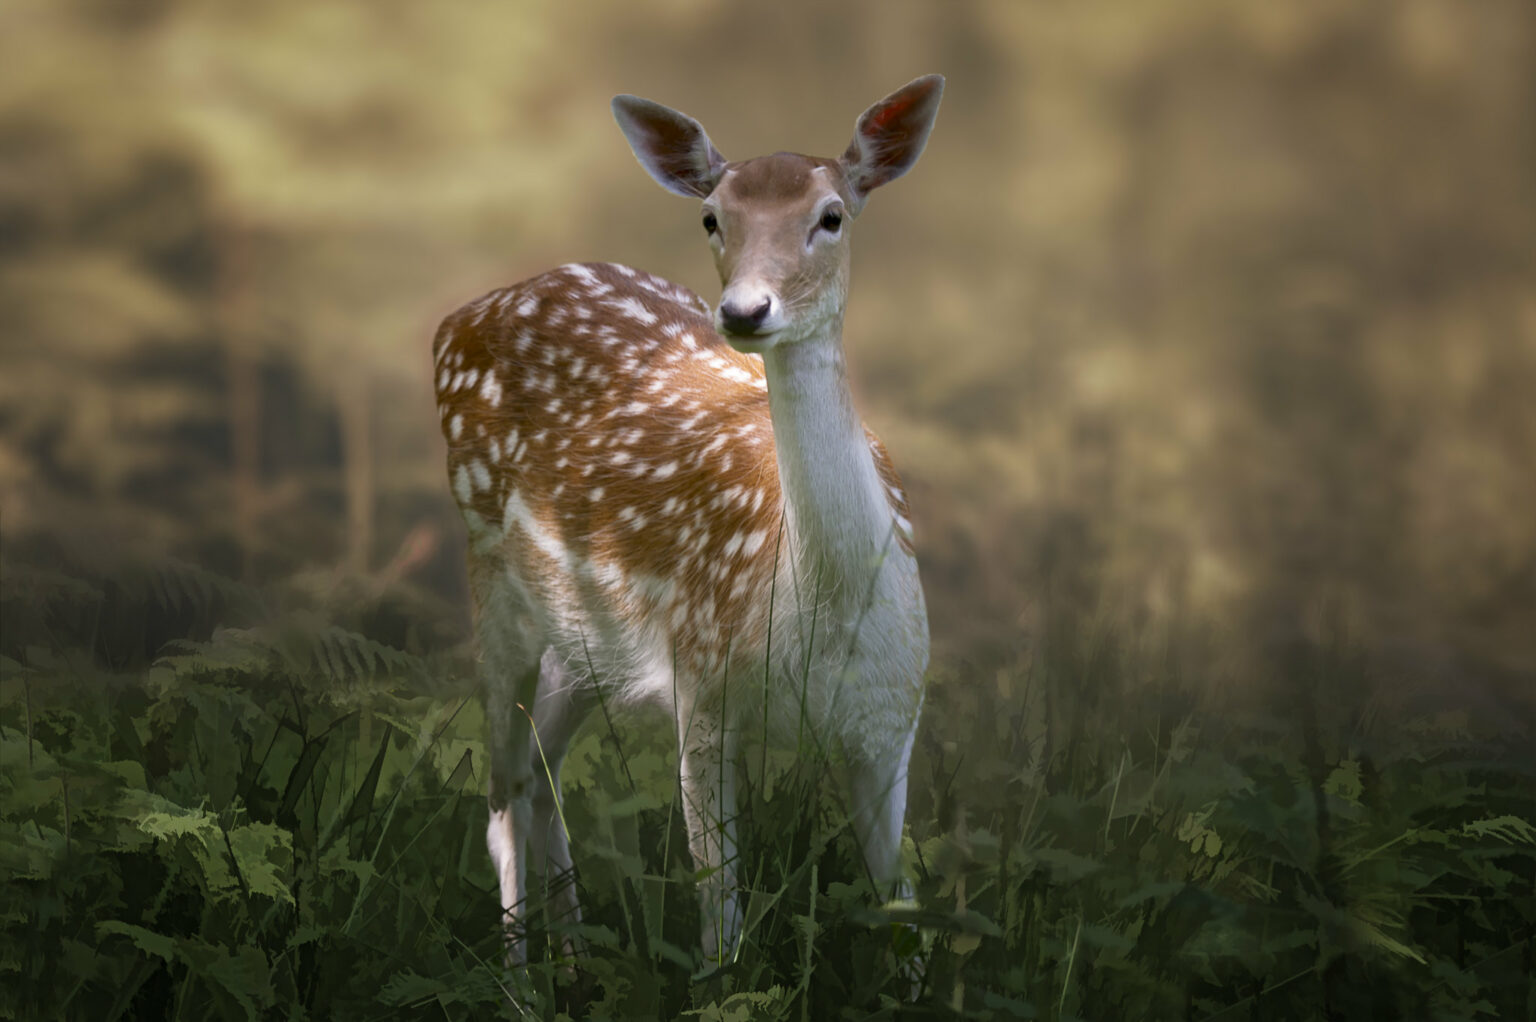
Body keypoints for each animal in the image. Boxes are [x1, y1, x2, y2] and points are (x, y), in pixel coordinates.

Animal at [432, 75, 943, 974]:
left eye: (831, 214)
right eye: (712, 216)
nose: (744, 310)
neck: (822, 611)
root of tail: (451, 321)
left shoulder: (892, 717)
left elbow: (902, 910)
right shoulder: (705, 688)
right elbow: (721, 920)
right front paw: (716, 975)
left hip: (588, 639)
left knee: (540, 769)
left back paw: (576, 953)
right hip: (491, 571)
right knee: (500, 792)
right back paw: (520, 977)